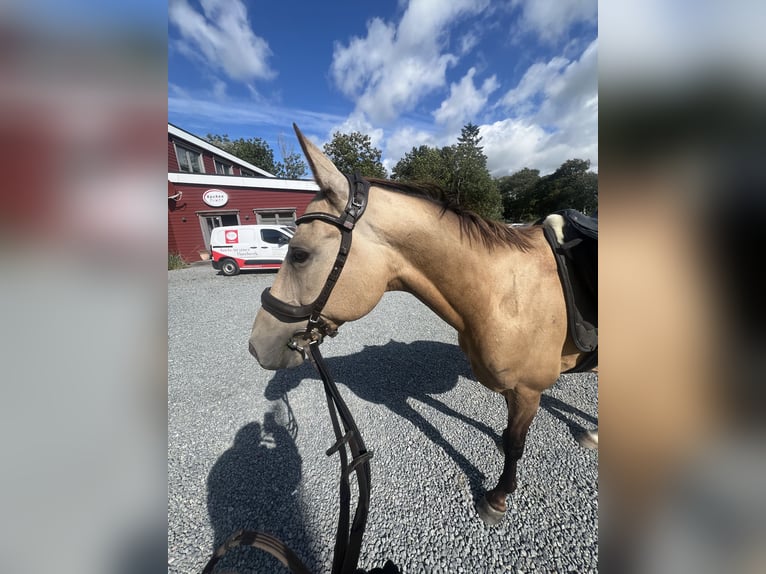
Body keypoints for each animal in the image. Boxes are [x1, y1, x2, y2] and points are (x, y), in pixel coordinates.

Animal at [249, 124, 597, 525]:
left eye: (300, 254)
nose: (257, 345)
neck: (503, 292)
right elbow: (508, 434)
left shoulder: (527, 390)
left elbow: (514, 443)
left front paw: (498, 496)